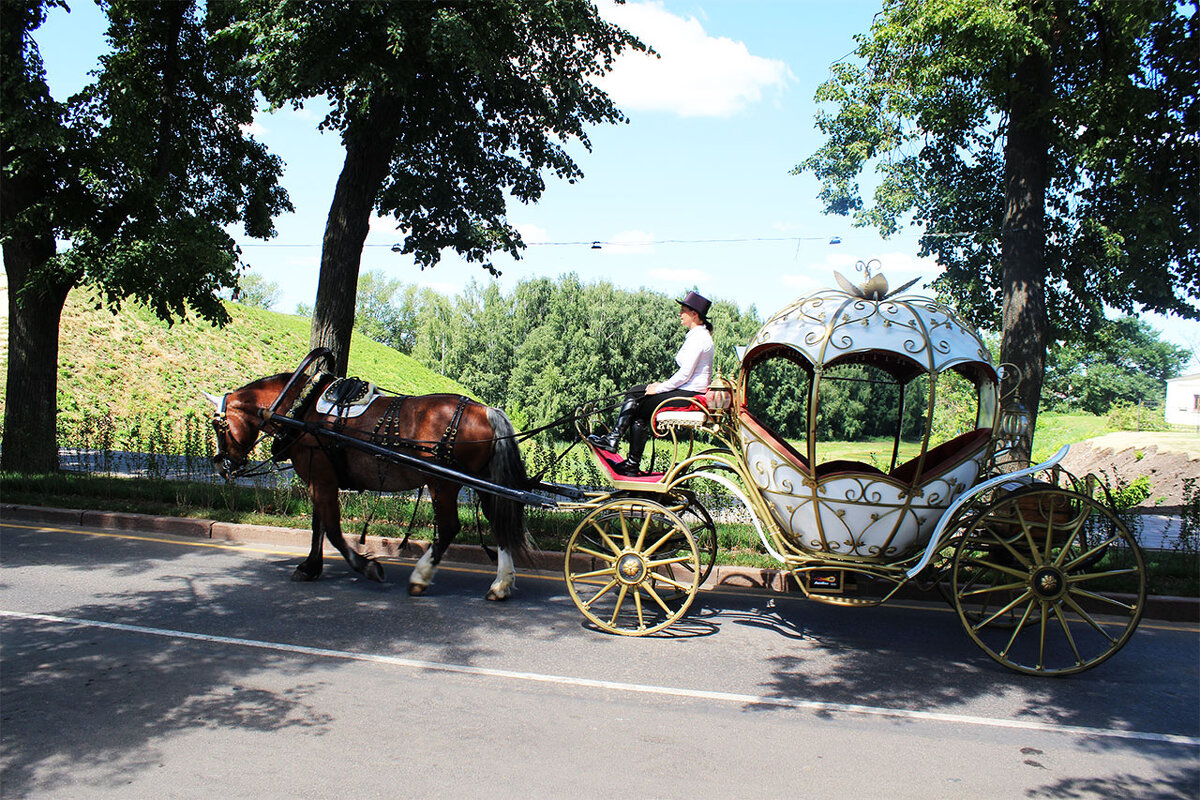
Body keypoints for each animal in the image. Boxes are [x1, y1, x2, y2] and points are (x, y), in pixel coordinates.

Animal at [201, 350, 530, 599]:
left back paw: (421, 577)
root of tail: (486, 410)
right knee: (500, 524)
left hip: (442, 482)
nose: (219, 465)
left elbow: (333, 530)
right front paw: (310, 567)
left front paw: (367, 567)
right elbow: (319, 526)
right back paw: (500, 584)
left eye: (218, 424)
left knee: (450, 527)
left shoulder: (321, 478)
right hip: (485, 483)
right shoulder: (321, 479)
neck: (300, 409)